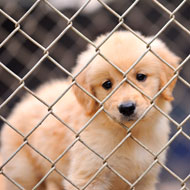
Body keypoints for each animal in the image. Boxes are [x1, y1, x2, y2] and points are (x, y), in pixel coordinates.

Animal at [0, 30, 180, 189]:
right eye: (107, 84)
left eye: (141, 77)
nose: (127, 108)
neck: (129, 134)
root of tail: (27, 100)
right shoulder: (88, 175)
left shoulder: (145, 178)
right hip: (23, 173)